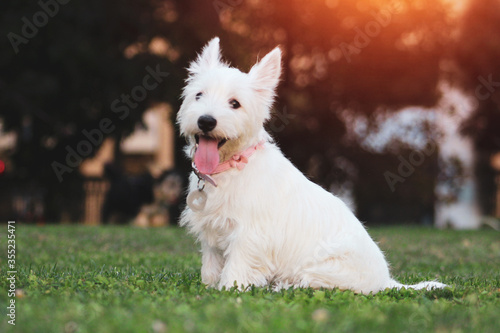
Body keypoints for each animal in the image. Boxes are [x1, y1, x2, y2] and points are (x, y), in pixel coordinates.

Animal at [176, 37, 446, 294]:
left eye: (235, 103)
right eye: (199, 95)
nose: (206, 121)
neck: (231, 165)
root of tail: (385, 281)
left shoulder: (249, 234)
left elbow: (237, 268)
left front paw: (228, 290)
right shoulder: (212, 235)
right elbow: (211, 268)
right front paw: (209, 287)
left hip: (325, 264)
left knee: (318, 284)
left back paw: (283, 286)